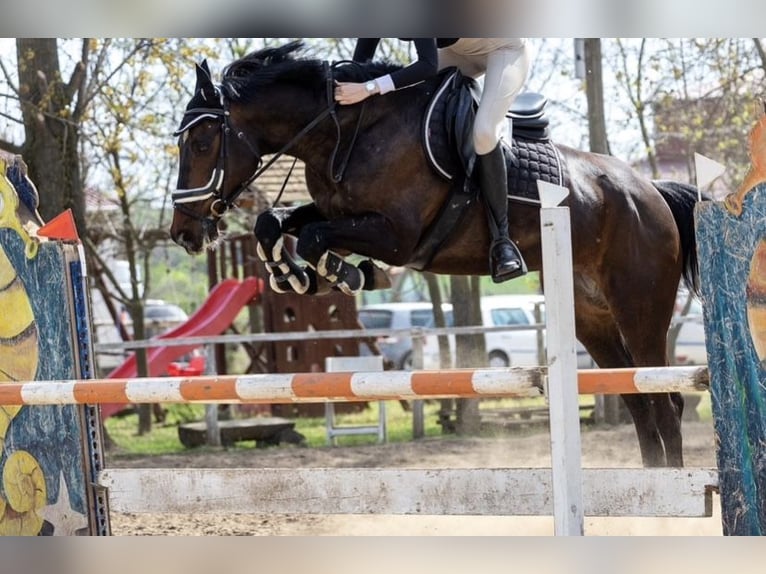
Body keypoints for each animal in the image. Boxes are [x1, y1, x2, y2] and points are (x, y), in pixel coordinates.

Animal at [170, 41, 702, 468]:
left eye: (202, 142)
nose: (182, 234)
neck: (347, 134)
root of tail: (650, 190)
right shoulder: (338, 213)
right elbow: (275, 222)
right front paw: (295, 276)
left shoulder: (397, 236)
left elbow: (314, 238)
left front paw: (347, 274)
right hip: (591, 317)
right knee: (640, 402)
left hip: (639, 310)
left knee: (666, 403)